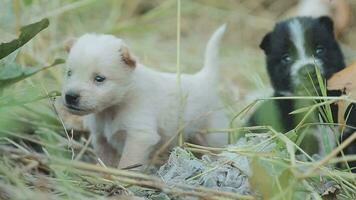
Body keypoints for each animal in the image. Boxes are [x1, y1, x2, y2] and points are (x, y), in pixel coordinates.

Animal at [61, 25, 228, 169]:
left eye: (99, 79)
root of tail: (205, 77)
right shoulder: (101, 138)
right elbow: (106, 160)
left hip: (213, 134)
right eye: (69, 73)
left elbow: (128, 161)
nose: (70, 96)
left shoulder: (139, 136)